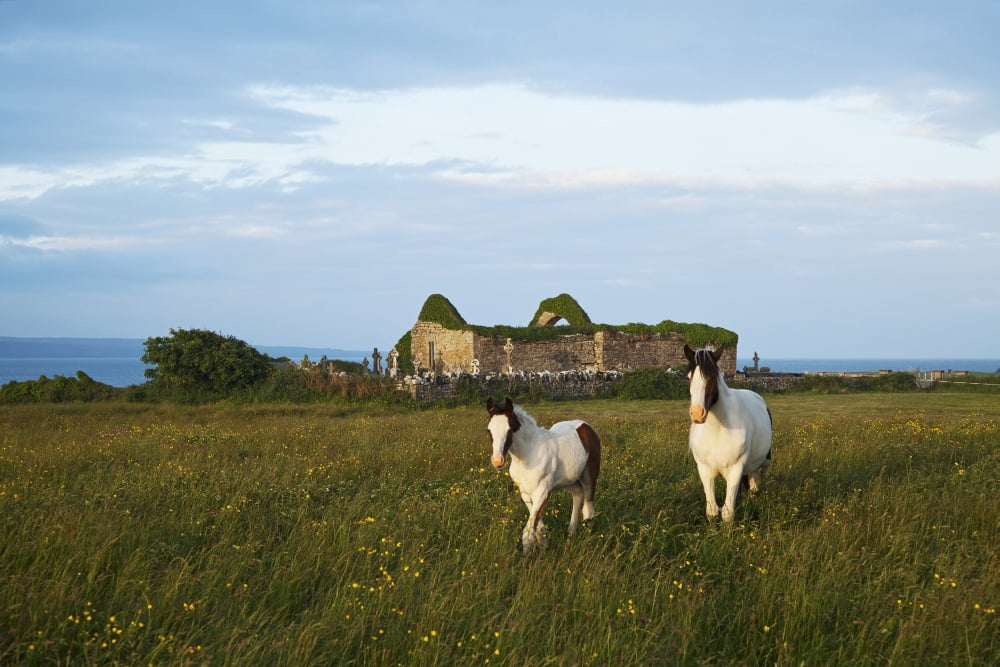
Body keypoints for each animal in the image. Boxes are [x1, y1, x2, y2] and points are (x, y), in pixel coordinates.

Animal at [486, 397, 601, 552]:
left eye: (509, 429)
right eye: (489, 430)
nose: (498, 461)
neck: (527, 455)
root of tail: (586, 426)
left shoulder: (542, 492)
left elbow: (528, 532)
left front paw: (527, 555)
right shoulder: (525, 493)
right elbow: (538, 526)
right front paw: (545, 548)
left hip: (589, 475)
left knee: (589, 509)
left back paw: (585, 540)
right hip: (567, 481)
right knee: (578, 494)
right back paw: (570, 536)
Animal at [684, 344, 772, 522]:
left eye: (712, 377)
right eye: (689, 378)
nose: (697, 413)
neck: (717, 431)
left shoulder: (735, 470)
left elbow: (727, 513)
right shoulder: (704, 471)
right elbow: (712, 510)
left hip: (764, 462)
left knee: (758, 482)